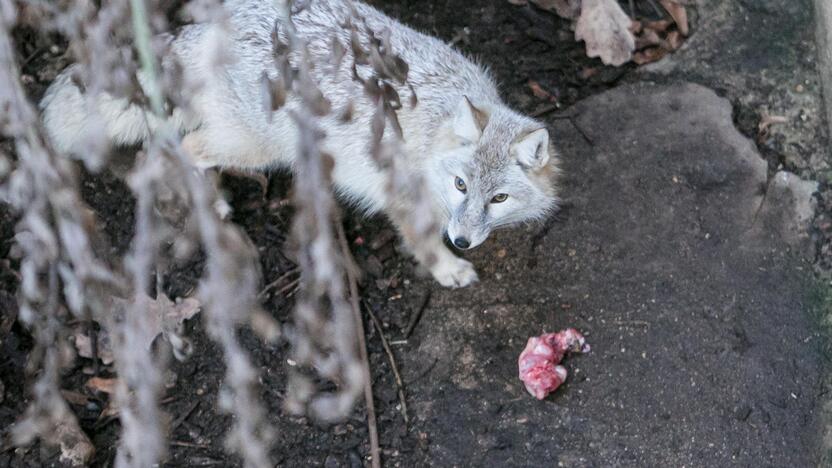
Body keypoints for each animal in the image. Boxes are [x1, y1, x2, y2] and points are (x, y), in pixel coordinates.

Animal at [39, 0, 560, 288]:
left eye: (499, 198)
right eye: (460, 185)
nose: (463, 241)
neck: (435, 129)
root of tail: (209, 27)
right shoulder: (401, 196)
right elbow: (422, 241)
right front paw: (447, 268)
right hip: (256, 148)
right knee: (177, 149)